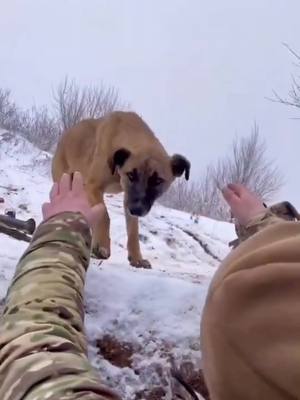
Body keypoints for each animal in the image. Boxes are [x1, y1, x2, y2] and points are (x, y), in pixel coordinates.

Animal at [51, 111, 190, 268]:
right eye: (131, 175)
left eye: (158, 181)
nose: (137, 209)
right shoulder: (94, 187)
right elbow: (105, 216)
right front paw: (102, 245)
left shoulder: (128, 198)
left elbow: (133, 231)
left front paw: (136, 258)